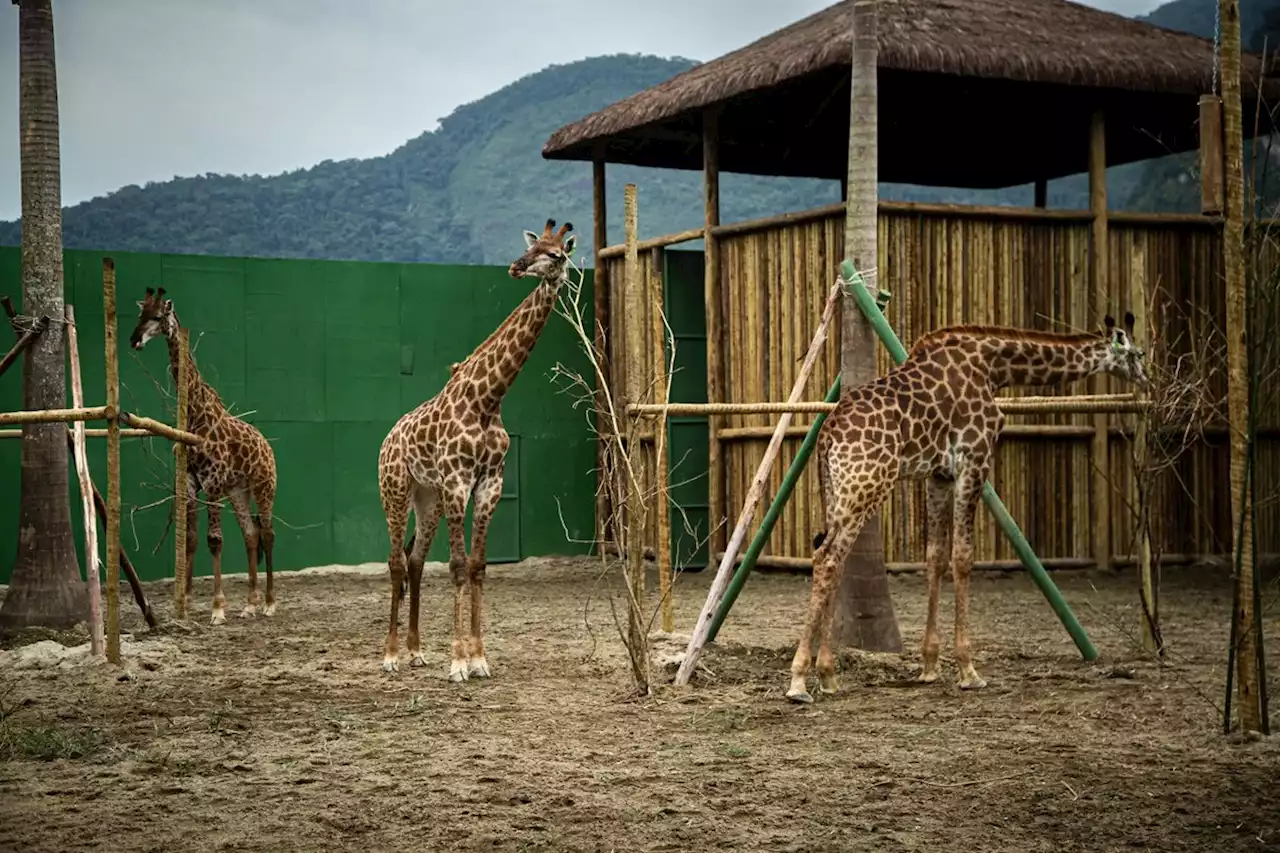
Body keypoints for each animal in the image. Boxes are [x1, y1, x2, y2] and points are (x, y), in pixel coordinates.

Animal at [129, 290, 277, 625]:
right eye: (140, 314)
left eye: (158, 316)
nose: (134, 340)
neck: (195, 414)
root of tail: (267, 447)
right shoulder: (191, 482)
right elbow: (193, 538)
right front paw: (185, 600)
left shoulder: (213, 482)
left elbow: (215, 540)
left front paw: (218, 608)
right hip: (239, 490)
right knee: (251, 534)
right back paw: (250, 604)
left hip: (263, 486)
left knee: (268, 534)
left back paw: (269, 603)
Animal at [376, 216, 578, 676]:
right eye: (532, 246)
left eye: (556, 254)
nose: (517, 267)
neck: (488, 398)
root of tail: (388, 439)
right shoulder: (457, 481)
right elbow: (455, 566)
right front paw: (457, 663)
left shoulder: (489, 483)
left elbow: (477, 566)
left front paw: (480, 658)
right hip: (395, 490)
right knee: (395, 560)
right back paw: (391, 655)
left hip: (427, 497)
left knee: (415, 560)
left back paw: (416, 651)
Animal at [788, 308, 1152, 701]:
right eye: (1139, 354)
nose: (1149, 382)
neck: (993, 368)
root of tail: (827, 435)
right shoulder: (975, 459)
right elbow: (963, 557)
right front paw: (968, 670)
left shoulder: (939, 474)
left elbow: (935, 556)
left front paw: (930, 666)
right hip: (867, 485)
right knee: (827, 558)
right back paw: (798, 681)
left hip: (838, 491)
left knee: (833, 560)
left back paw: (828, 676)